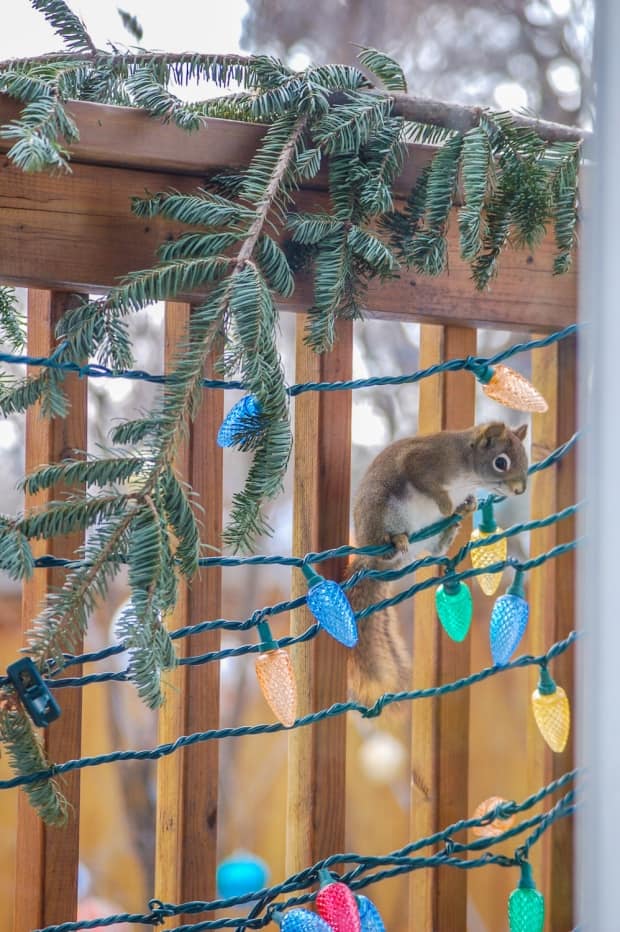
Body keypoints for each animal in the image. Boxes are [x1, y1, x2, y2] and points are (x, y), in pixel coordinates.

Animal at [346, 421, 529, 703]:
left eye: (526, 458)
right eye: (501, 462)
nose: (520, 489)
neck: (467, 470)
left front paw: (468, 503)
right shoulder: (423, 460)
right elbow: (423, 478)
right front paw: (445, 503)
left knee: (436, 548)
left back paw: (454, 522)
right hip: (379, 507)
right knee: (385, 543)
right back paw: (395, 539)